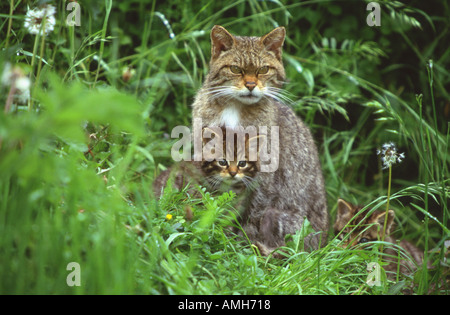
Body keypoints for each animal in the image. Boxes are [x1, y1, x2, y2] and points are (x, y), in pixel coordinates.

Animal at [192, 25, 328, 256]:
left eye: (263, 70)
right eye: (235, 69)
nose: (250, 85)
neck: (234, 109)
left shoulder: (264, 180)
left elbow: (252, 215)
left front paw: (241, 241)